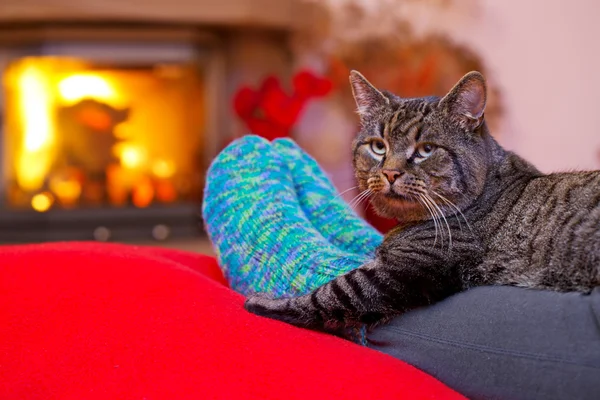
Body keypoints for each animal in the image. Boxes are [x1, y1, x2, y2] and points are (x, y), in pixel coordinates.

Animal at [244, 70, 600, 332]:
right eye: (378, 146)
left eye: (426, 150)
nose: (389, 172)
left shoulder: (400, 270)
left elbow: (329, 294)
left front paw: (264, 302)